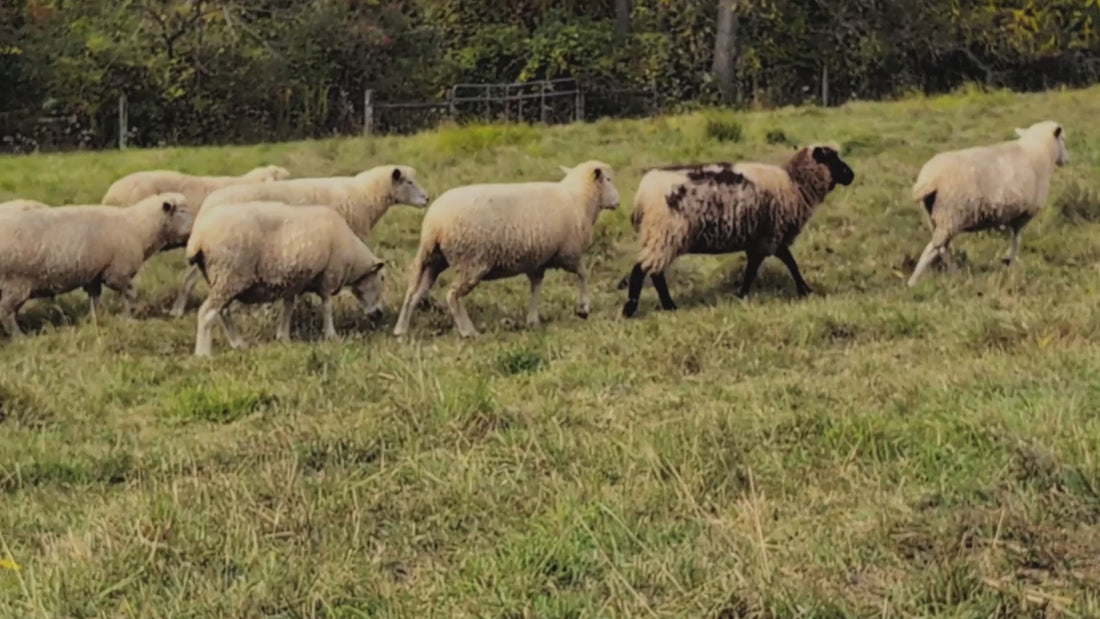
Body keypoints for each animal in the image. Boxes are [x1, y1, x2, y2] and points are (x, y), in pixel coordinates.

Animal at [0, 193, 191, 338]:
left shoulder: (95, 275)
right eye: (182, 211)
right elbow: (130, 293)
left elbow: (95, 298)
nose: (193, 233)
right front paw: (127, 318)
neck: (139, 227)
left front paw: (96, 319)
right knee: (6, 312)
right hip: (15, 283)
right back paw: (20, 337)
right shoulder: (117, 272)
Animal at [185, 201, 387, 357]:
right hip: (228, 274)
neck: (354, 259)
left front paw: (283, 336)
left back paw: (238, 343)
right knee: (207, 313)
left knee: (223, 312)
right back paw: (203, 354)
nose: (379, 313)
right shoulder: (328, 277)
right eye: (381, 280)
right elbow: (327, 307)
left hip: (223, 280)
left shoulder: (294, 282)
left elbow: (288, 307)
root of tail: (199, 238)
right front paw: (331, 335)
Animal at [392, 161, 620, 338]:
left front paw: (532, 319)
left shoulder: (537, 260)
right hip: (472, 261)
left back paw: (401, 330)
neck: (579, 199)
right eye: (609, 179)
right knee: (452, 295)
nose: (618, 202)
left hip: (433, 258)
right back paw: (468, 331)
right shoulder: (569, 253)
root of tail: (434, 222)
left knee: (415, 292)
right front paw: (583, 308)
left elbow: (535, 287)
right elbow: (583, 274)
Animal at [620, 144, 855, 317]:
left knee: (653, 271)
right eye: (832, 159)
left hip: (659, 236)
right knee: (642, 270)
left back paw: (667, 306)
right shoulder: (770, 235)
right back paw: (633, 308)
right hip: (665, 234)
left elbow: (779, 263)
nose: (851, 175)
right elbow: (779, 264)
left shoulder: (761, 238)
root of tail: (643, 193)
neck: (795, 184)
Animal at [907, 120, 1069, 287]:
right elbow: (1017, 239)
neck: (1039, 150)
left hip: (934, 216)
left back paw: (954, 272)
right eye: (1063, 139)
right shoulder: (1024, 214)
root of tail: (929, 179)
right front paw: (1011, 261)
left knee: (942, 248)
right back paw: (914, 281)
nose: (1066, 160)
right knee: (934, 249)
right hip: (950, 214)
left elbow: (1014, 237)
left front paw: (1008, 260)